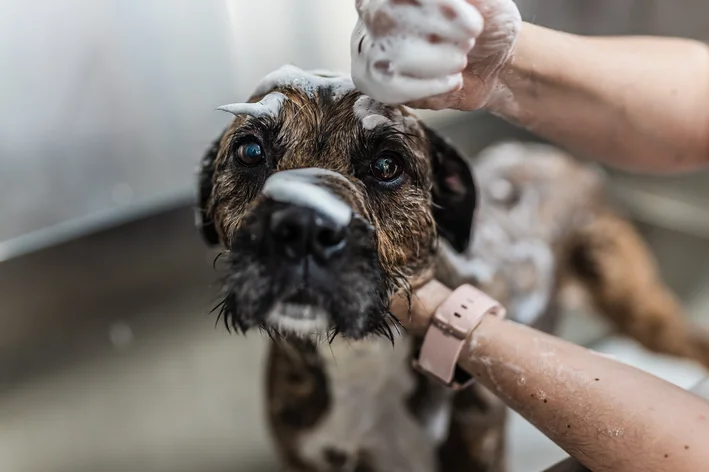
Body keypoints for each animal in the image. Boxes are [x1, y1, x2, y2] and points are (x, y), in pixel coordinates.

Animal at [194, 65, 708, 472]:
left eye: (387, 165)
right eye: (250, 152)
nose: (302, 226)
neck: (360, 362)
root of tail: (559, 157)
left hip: (639, 309)